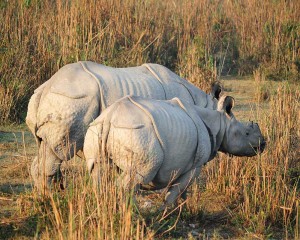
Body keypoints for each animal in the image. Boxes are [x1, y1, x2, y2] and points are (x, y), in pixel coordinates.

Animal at [26, 61, 223, 189]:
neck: (204, 104)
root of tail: (45, 88)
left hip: (61, 98)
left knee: (46, 147)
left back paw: (46, 198)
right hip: (72, 99)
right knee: (59, 150)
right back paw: (51, 197)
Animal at [83, 94, 266, 207]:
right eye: (247, 133)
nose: (263, 144)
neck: (219, 123)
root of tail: (109, 117)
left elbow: (181, 192)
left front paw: (182, 209)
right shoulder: (195, 165)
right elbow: (175, 191)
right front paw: (166, 214)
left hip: (96, 129)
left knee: (98, 173)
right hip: (137, 134)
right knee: (138, 175)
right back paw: (132, 214)